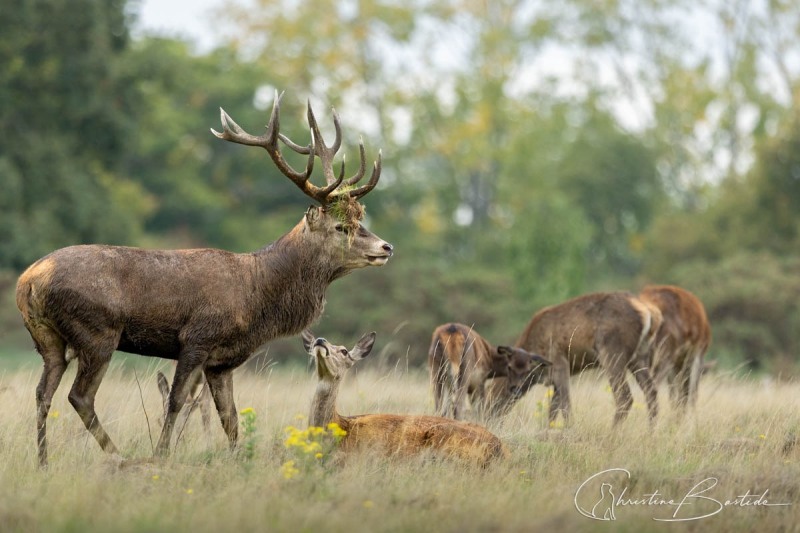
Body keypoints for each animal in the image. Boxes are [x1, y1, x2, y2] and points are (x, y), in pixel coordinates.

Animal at [15, 91, 393, 467]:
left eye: (360, 221)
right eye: (341, 227)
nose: (387, 246)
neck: (257, 296)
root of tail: (28, 281)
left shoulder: (221, 363)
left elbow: (230, 417)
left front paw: (239, 459)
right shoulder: (196, 338)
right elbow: (176, 401)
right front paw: (162, 455)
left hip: (47, 338)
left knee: (42, 393)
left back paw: (43, 461)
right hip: (98, 332)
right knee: (79, 396)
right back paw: (118, 456)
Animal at [507, 292, 662, 426]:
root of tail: (649, 313)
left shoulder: (558, 361)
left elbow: (565, 403)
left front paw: (569, 430)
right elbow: (553, 409)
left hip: (612, 350)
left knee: (625, 396)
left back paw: (612, 433)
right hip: (639, 355)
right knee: (651, 391)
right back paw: (650, 433)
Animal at [638, 285, 711, 414]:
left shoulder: (678, 361)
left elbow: (674, 394)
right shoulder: (695, 355)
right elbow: (689, 392)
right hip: (664, 353)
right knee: (653, 386)